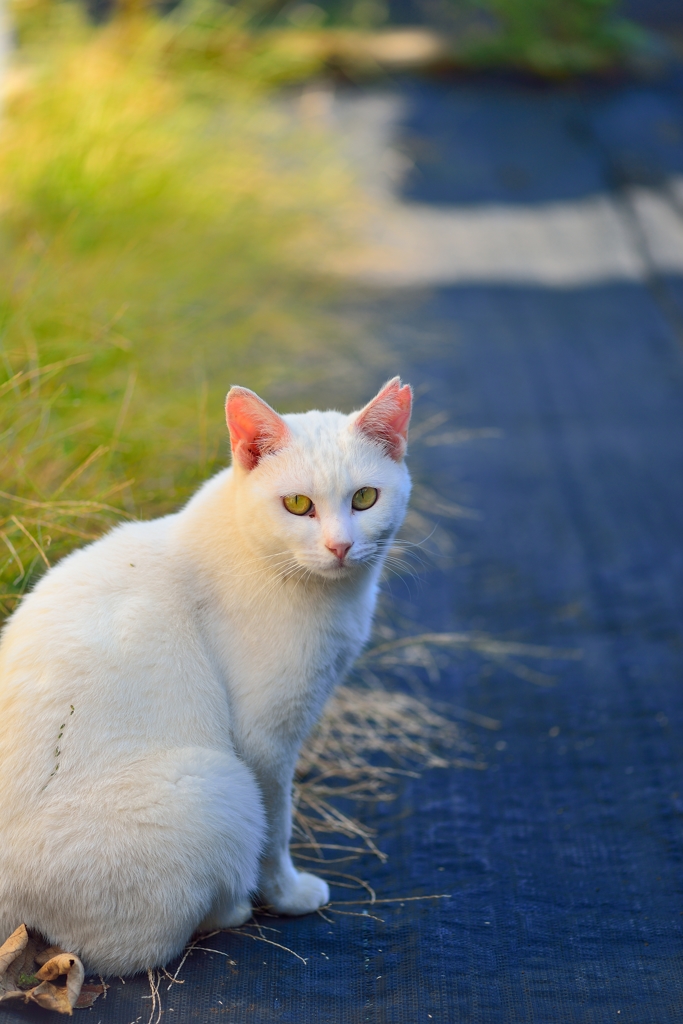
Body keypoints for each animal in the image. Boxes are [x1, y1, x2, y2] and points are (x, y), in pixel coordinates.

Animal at [0, 376, 411, 974]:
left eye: (365, 498)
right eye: (297, 505)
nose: (341, 546)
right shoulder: (265, 741)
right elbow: (277, 829)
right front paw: (287, 896)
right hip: (217, 786)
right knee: (126, 946)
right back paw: (231, 909)